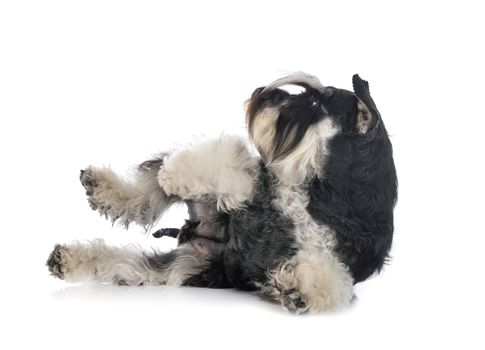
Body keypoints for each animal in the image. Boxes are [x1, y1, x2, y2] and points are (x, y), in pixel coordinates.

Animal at [47, 72, 398, 314]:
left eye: (314, 103)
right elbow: (234, 162)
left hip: (183, 269)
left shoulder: (346, 261)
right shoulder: (263, 184)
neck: (325, 195)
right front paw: (178, 172)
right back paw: (103, 187)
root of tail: (195, 235)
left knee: (125, 260)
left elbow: (335, 279)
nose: (262, 93)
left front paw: (297, 290)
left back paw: (68, 258)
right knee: (145, 194)